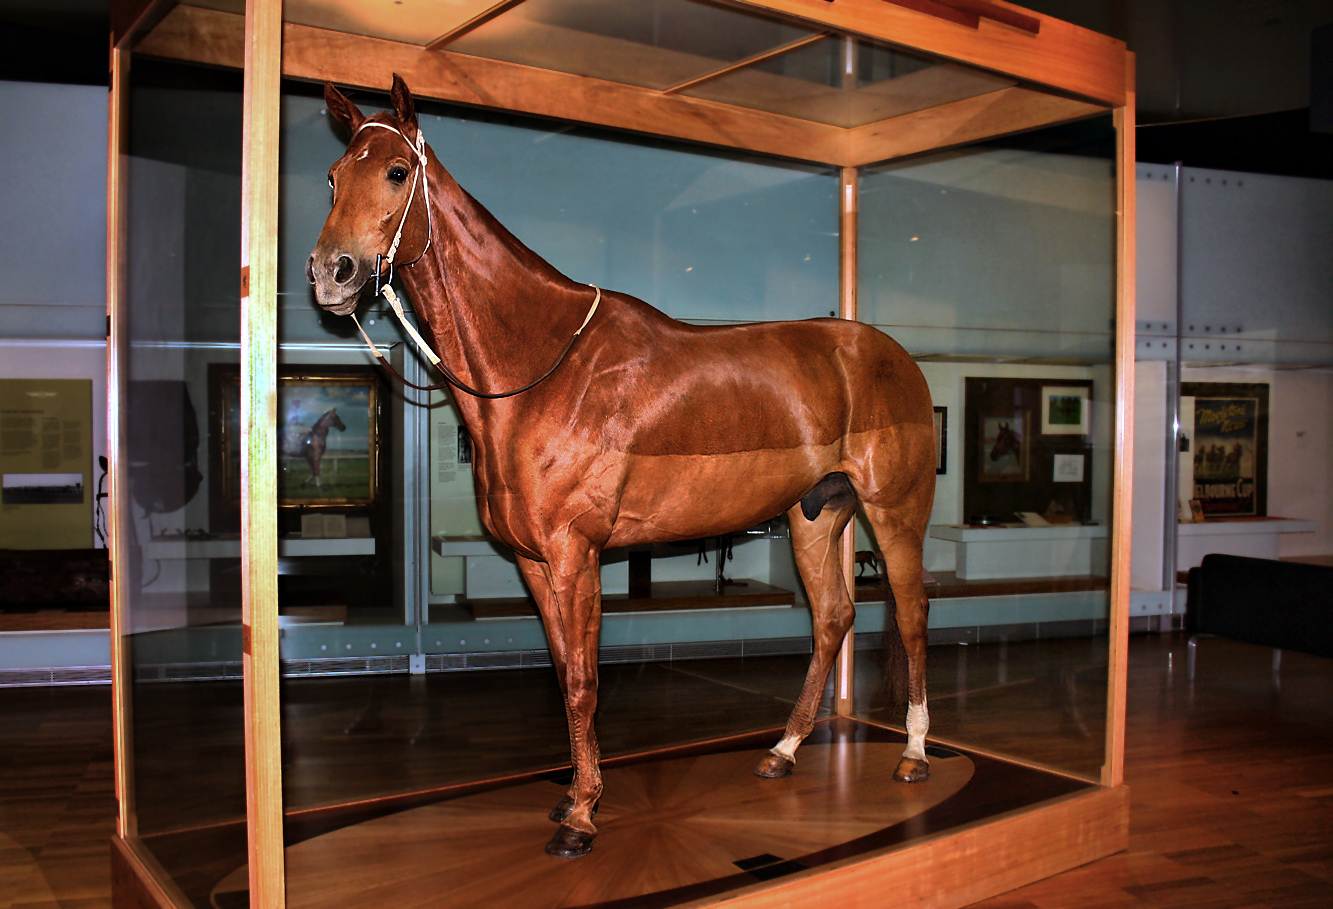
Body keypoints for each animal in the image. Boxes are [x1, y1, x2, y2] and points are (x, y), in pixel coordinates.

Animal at [309, 77, 938, 858]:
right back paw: (784, 750)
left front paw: (581, 816)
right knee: (832, 619)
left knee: (911, 613)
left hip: (893, 512)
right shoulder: (534, 562)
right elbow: (561, 673)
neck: (539, 370)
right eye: (333, 177)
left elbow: (583, 678)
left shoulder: (575, 553)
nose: (330, 274)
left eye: (397, 172)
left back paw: (913, 753)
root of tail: (895, 358)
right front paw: (574, 797)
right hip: (814, 516)